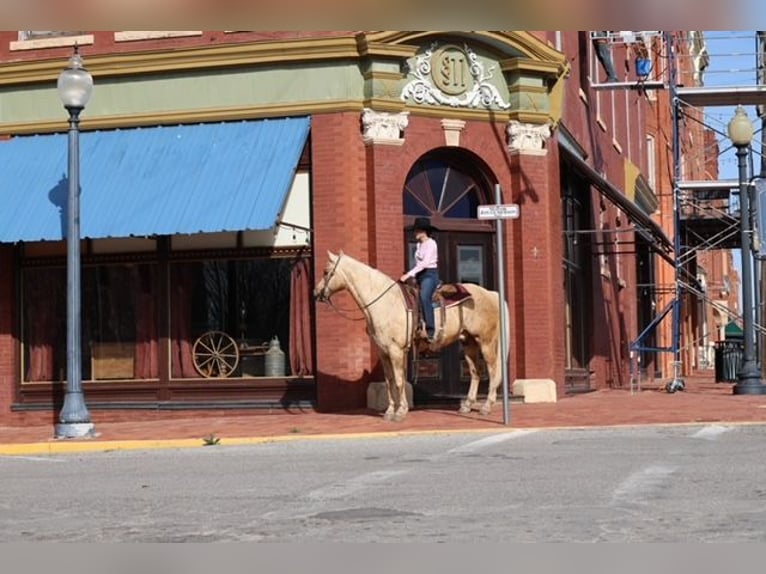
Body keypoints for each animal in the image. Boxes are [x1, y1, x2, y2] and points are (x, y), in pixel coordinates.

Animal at [313, 250, 508, 422]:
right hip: (469, 343)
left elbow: (399, 381)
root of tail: (491, 294)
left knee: (493, 370)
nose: (316, 293)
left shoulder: (396, 350)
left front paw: (401, 412)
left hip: (486, 342)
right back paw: (467, 405)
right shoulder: (383, 352)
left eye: (326, 272)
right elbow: (389, 381)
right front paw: (390, 411)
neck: (385, 303)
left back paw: (486, 406)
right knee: (476, 372)